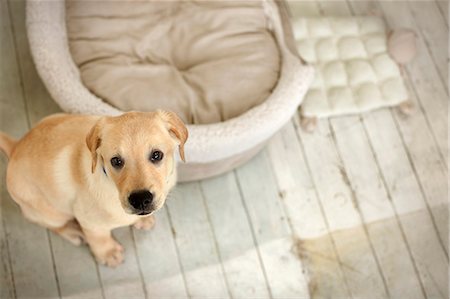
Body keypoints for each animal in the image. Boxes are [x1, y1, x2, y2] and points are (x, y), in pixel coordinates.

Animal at [0, 111, 188, 268]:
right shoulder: (89, 221)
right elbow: (99, 238)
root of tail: (15, 147)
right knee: (48, 223)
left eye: (157, 155)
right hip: (51, 212)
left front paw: (143, 220)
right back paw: (72, 232)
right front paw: (108, 253)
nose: (140, 199)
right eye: (116, 161)